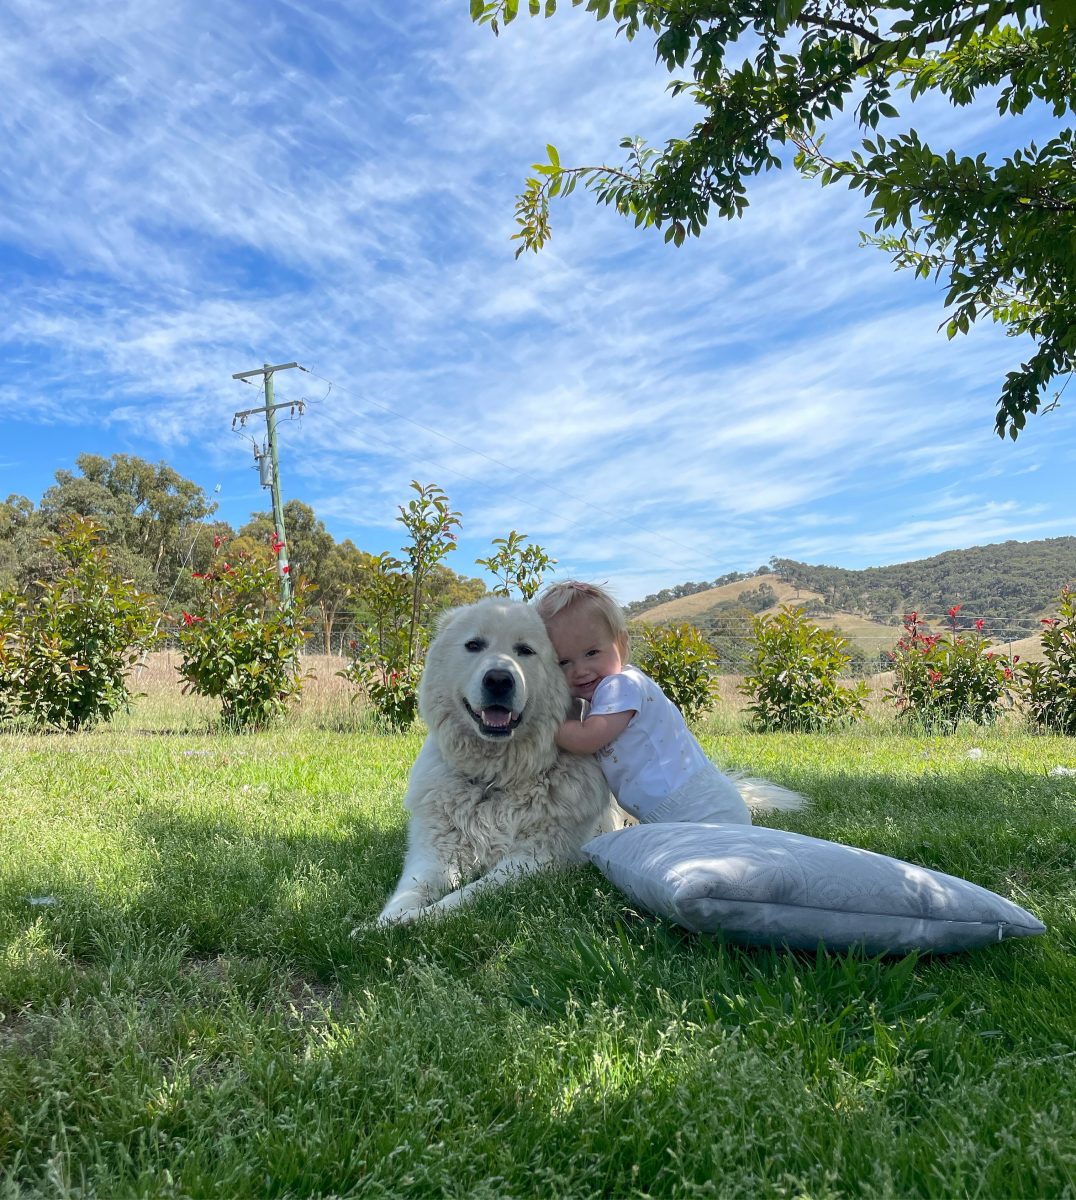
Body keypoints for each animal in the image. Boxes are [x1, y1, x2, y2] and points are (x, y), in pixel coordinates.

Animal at [374, 600, 623, 926]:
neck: (493, 780)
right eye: (474, 645)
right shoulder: (434, 853)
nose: (498, 680)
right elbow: (408, 892)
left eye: (525, 650)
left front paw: (416, 921)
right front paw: (377, 927)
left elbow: (464, 896)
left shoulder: (533, 860)